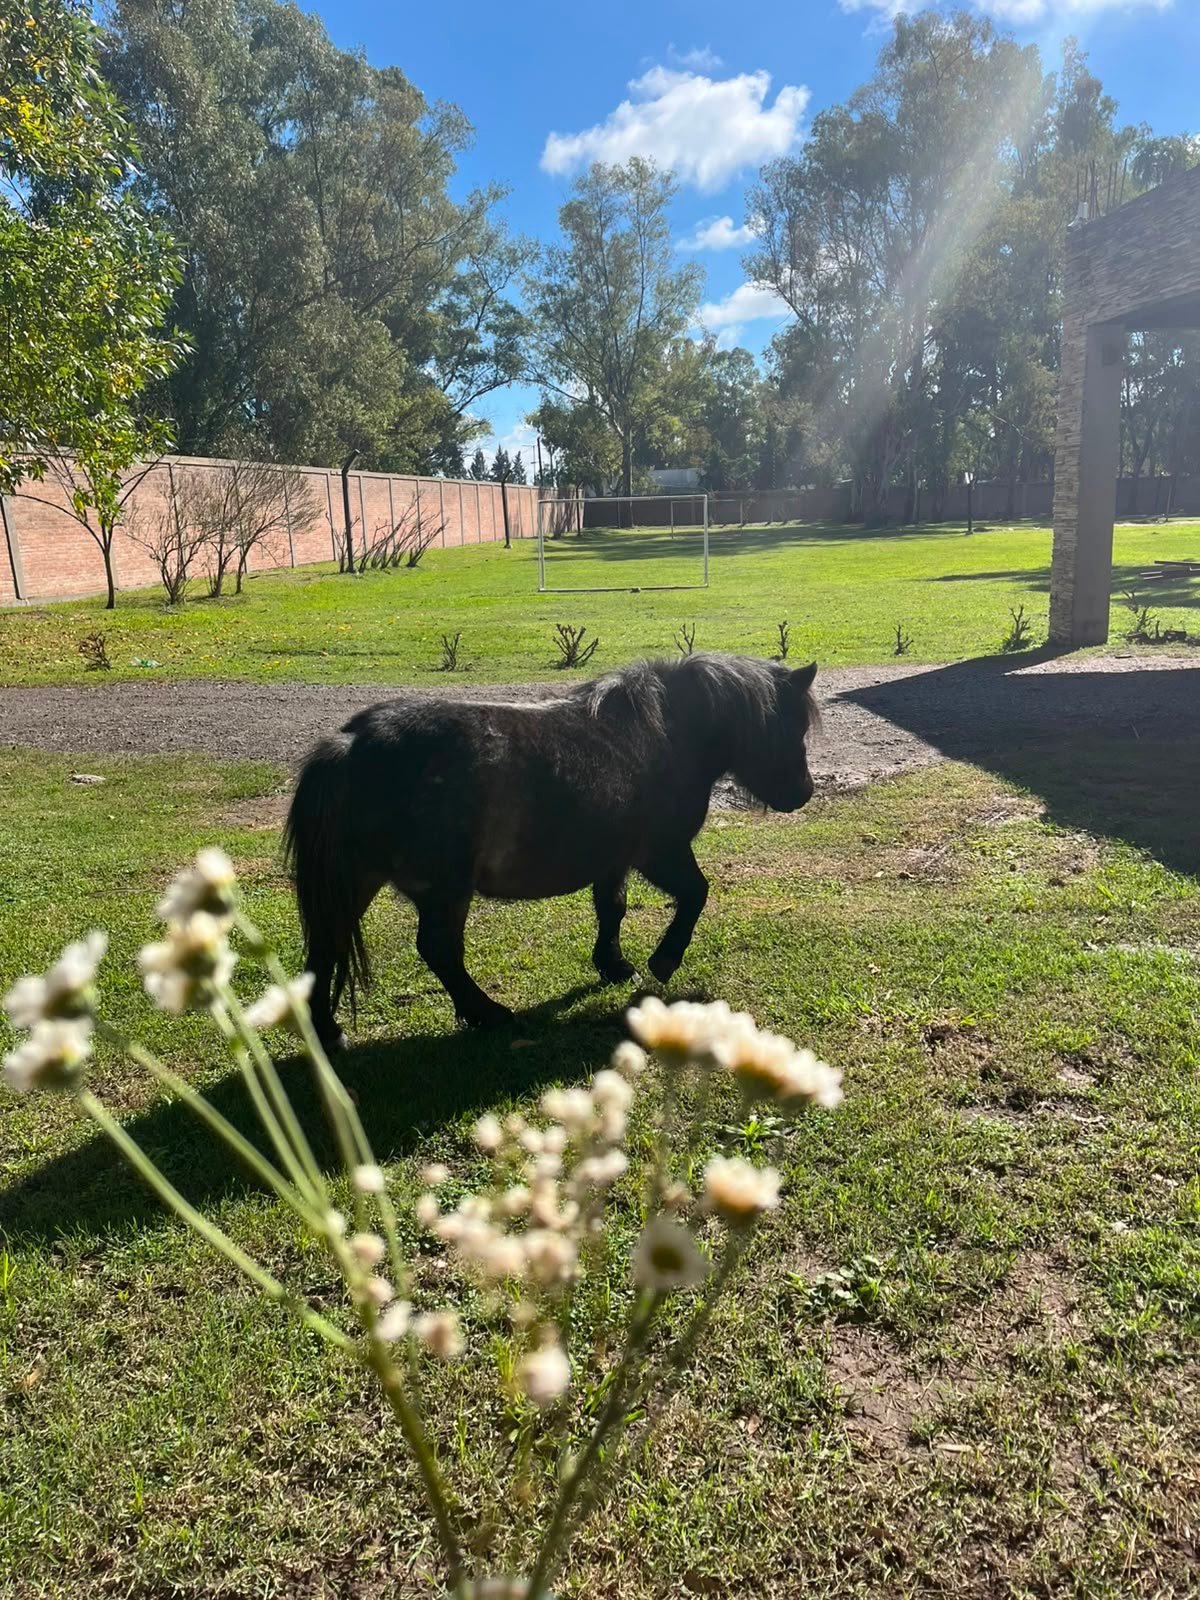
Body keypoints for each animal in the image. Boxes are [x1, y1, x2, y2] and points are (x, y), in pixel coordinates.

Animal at [285, 652, 820, 1050]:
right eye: (791, 728)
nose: (804, 793)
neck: (668, 734)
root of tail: (351, 742)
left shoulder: (613, 859)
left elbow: (612, 908)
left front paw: (613, 965)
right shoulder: (661, 853)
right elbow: (695, 894)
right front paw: (664, 960)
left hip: (357, 880)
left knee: (327, 943)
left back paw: (328, 1031)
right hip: (444, 889)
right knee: (438, 949)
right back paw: (488, 1013)